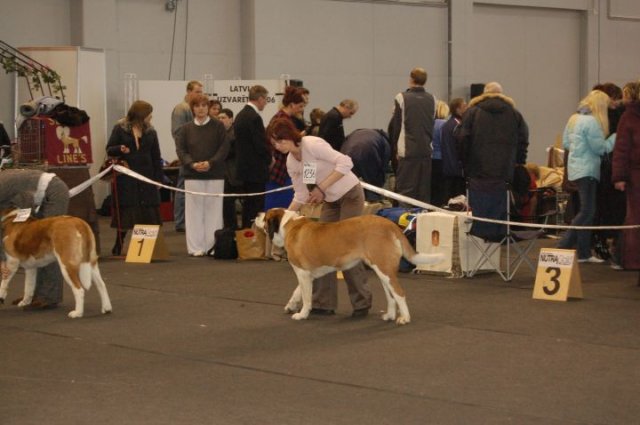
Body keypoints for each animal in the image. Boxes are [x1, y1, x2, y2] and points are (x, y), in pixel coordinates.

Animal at [262, 207, 442, 322]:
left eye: (265, 218)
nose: (257, 214)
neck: (289, 226)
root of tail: (390, 224)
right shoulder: (307, 274)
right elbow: (298, 291)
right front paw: (291, 305)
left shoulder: (302, 273)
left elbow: (306, 298)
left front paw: (302, 314)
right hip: (381, 269)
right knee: (390, 295)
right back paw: (390, 315)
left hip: (384, 268)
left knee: (399, 293)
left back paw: (404, 318)